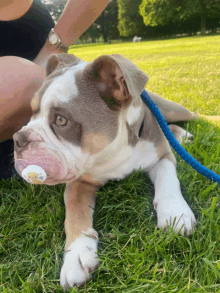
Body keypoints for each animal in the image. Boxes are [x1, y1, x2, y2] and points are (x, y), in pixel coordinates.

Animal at [13, 53, 196, 288]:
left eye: (61, 120)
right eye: (32, 112)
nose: (18, 139)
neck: (112, 151)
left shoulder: (163, 156)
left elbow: (168, 178)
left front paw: (175, 211)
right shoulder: (78, 183)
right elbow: (75, 214)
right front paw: (76, 255)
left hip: (173, 109)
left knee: (194, 115)